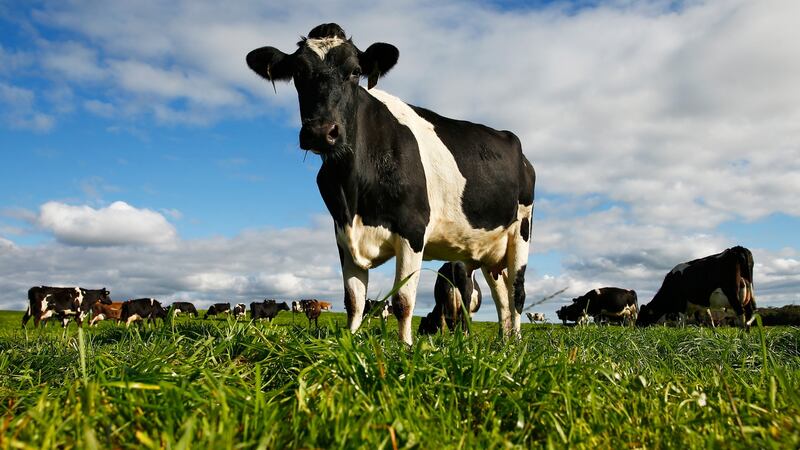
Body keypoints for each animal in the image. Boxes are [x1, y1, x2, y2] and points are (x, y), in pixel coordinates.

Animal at [247, 23, 536, 344]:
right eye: (298, 72)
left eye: (355, 71)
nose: (321, 132)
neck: (351, 190)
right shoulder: (343, 235)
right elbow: (354, 300)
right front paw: (350, 343)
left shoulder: (413, 229)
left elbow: (403, 300)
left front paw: (406, 346)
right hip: (489, 251)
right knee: (501, 296)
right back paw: (504, 341)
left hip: (521, 229)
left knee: (517, 292)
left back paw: (517, 342)